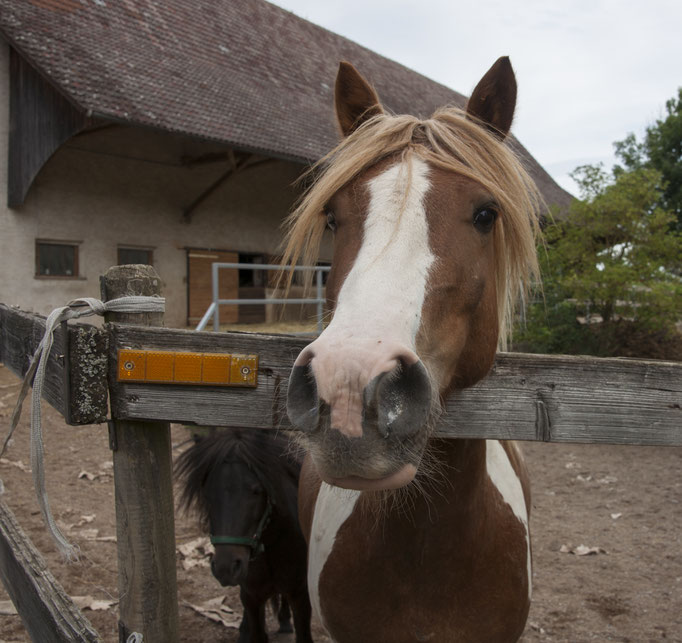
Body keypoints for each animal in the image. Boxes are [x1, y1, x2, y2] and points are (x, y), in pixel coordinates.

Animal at [175, 430, 314, 643]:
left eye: (257, 491)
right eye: (207, 493)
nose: (226, 567)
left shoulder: (300, 595)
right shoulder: (251, 596)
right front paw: (246, 629)